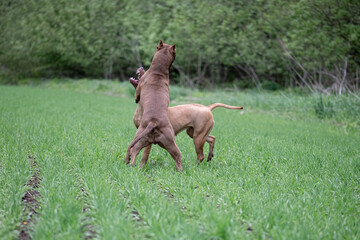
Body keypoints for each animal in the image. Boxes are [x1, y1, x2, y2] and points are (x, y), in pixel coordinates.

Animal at [124, 41, 183, 171]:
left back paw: (129, 164)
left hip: (140, 135)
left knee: (133, 151)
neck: (158, 72)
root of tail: (153, 122)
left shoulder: (139, 89)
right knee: (177, 157)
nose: (141, 67)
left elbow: (136, 96)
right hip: (165, 142)